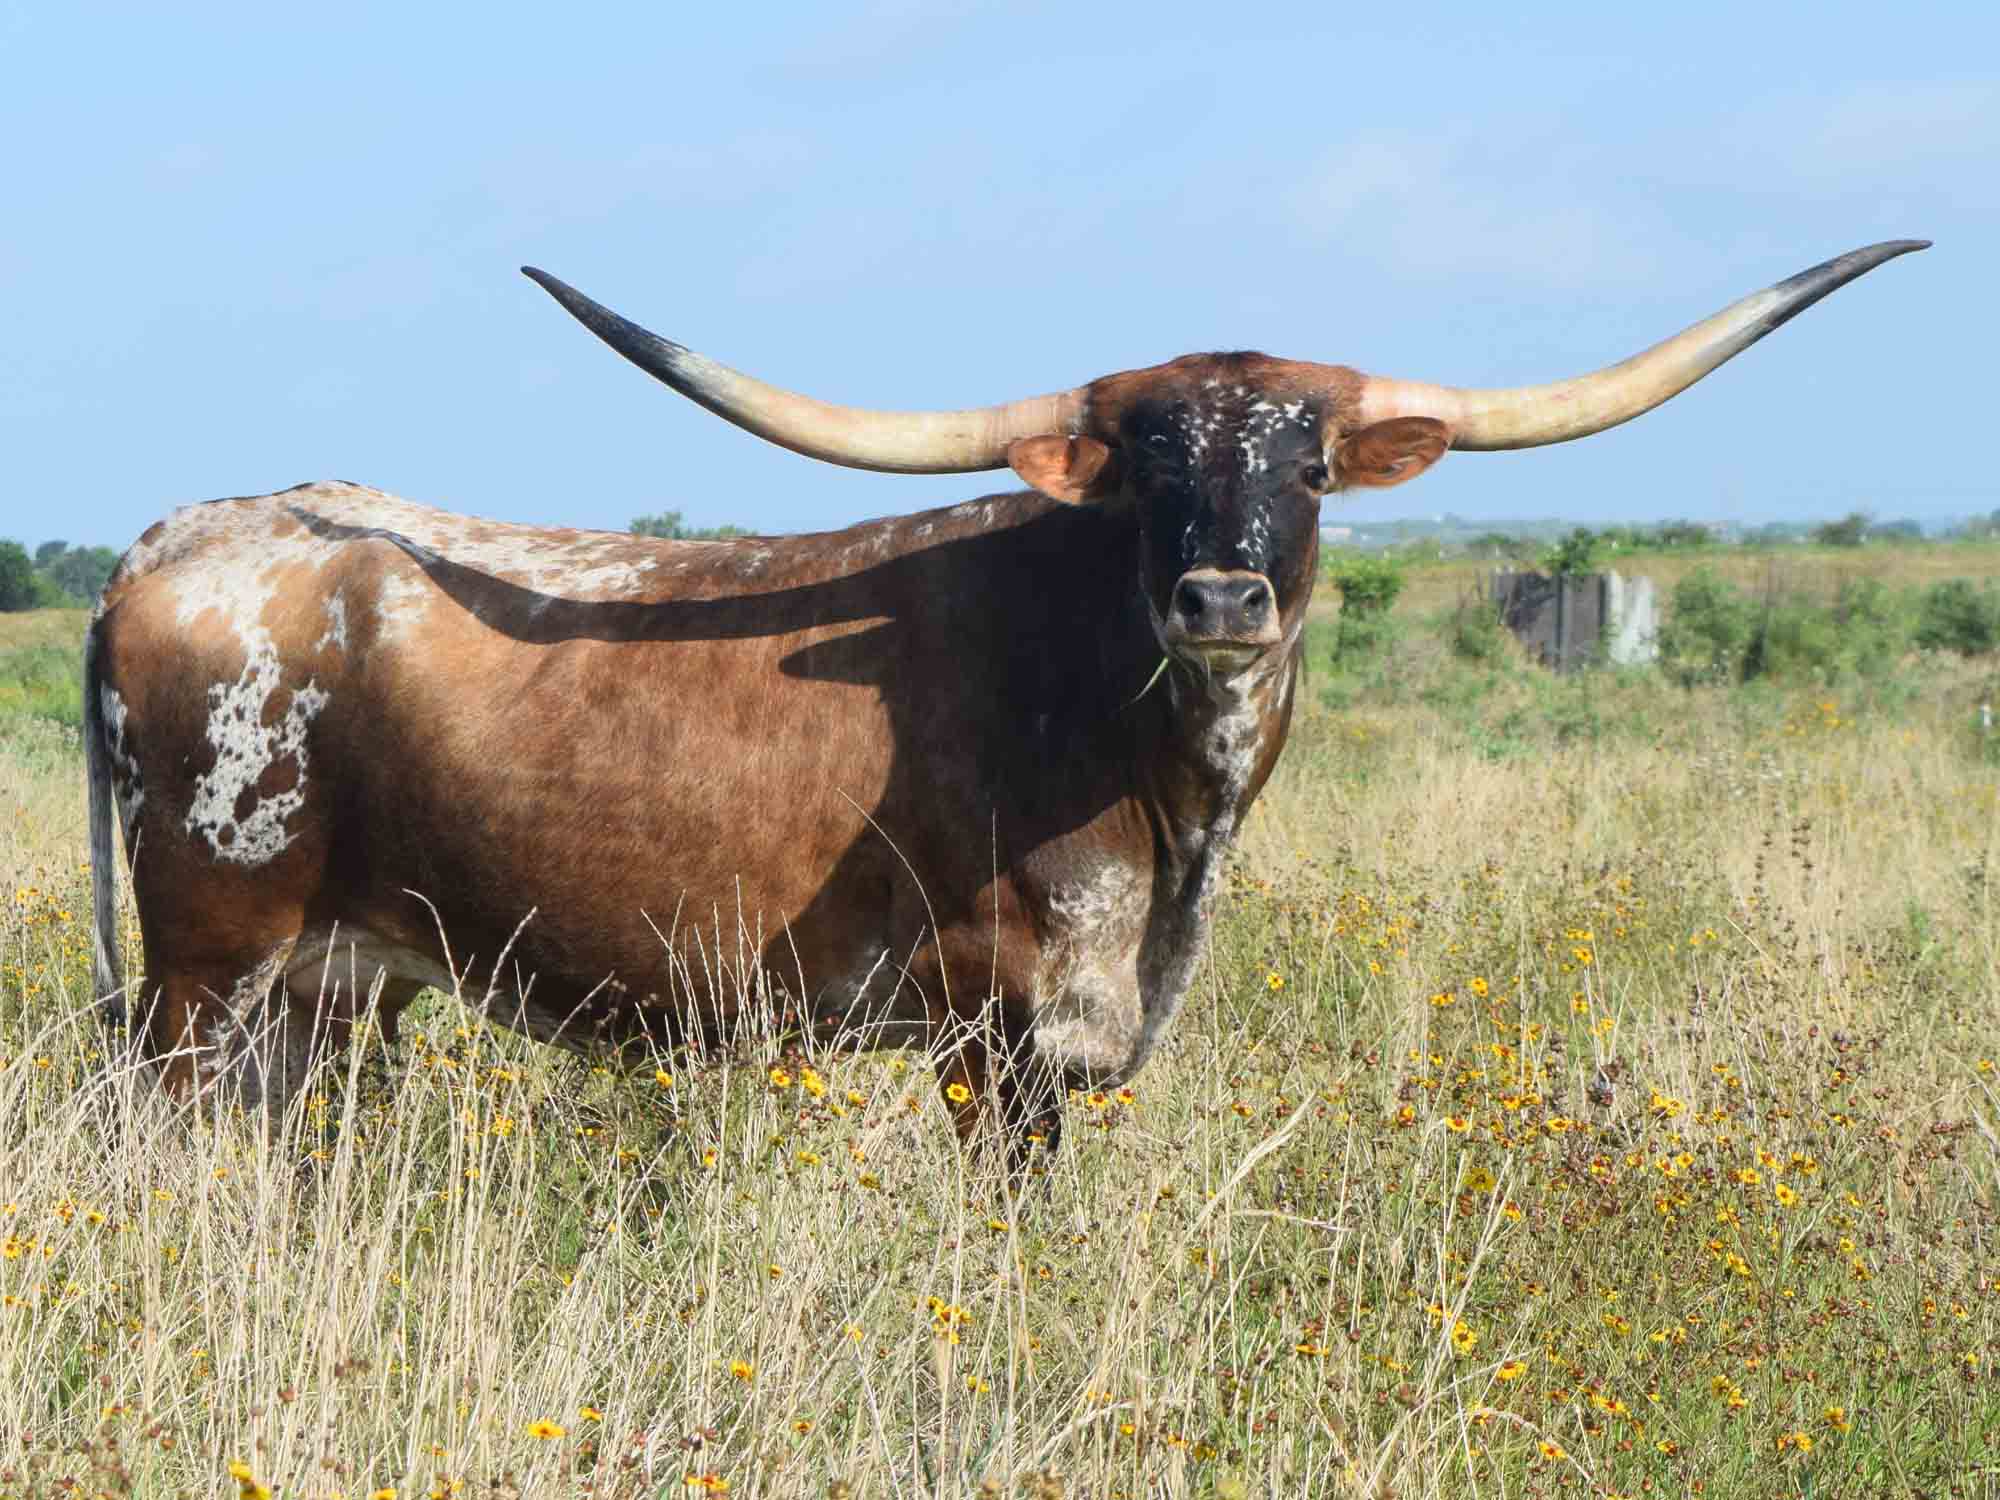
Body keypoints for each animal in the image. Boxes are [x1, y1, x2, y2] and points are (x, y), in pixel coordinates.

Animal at [86, 241, 1928, 1152]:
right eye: (1151, 461)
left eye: (1307, 460)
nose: (1220, 598)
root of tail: (180, 538)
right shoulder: (1002, 1037)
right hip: (205, 978)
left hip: (332, 998)